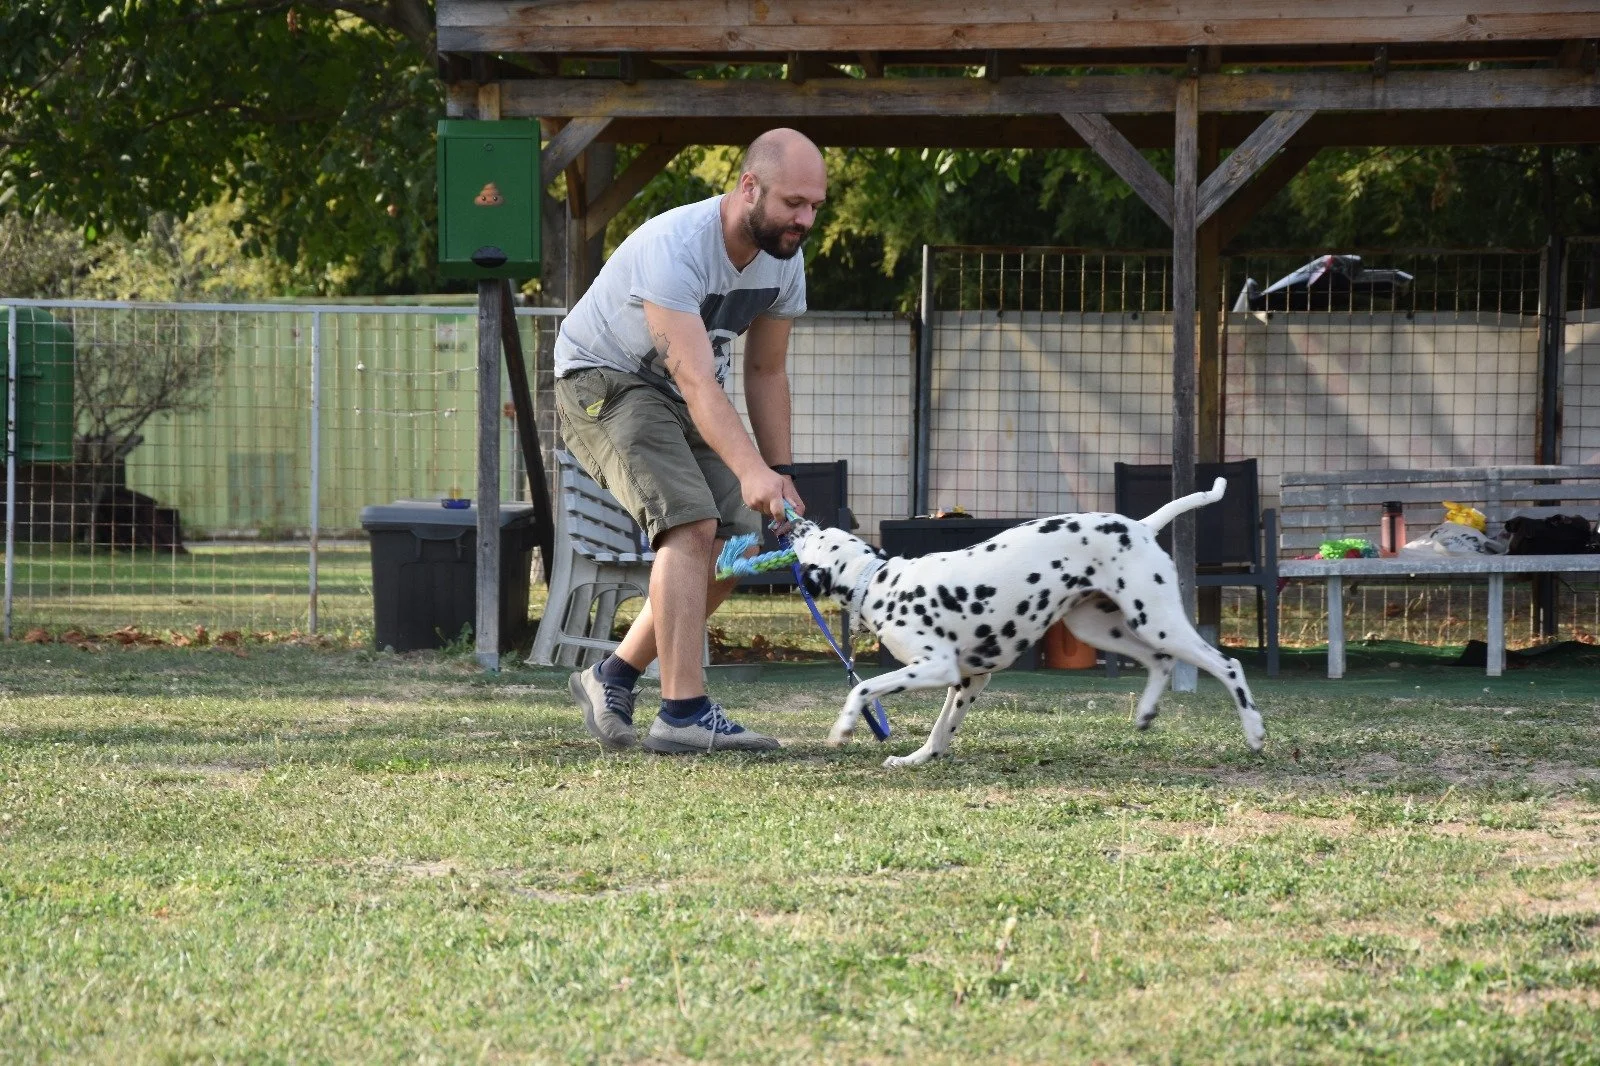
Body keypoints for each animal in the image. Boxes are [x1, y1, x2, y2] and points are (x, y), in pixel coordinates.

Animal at [788, 478, 1266, 768]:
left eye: (814, 539)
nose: (796, 523)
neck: (879, 581)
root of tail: (1142, 526)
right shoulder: (968, 681)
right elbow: (941, 731)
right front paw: (916, 760)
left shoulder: (935, 667)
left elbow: (862, 688)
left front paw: (843, 729)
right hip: (1100, 627)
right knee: (1160, 662)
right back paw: (1147, 712)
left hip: (1158, 621)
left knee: (1228, 666)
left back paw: (1255, 733)